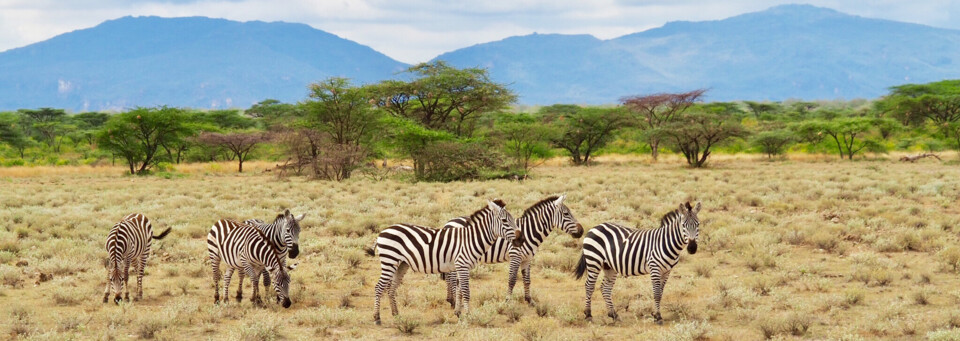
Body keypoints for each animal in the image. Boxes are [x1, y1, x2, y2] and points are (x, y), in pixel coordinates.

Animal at [370, 199, 516, 324]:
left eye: (513, 220)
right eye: (504, 221)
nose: (519, 239)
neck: (471, 239)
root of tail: (382, 232)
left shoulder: (462, 267)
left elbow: (459, 290)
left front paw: (458, 313)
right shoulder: (462, 265)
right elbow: (466, 291)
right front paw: (469, 316)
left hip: (401, 264)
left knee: (391, 288)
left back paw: (396, 314)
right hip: (389, 260)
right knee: (379, 287)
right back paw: (377, 318)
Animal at [442, 195, 584, 304]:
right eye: (566, 214)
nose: (582, 231)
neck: (529, 231)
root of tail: (448, 223)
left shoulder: (527, 259)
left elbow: (527, 280)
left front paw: (529, 300)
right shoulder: (515, 255)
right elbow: (512, 280)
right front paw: (507, 301)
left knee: (449, 276)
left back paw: (450, 299)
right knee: (452, 277)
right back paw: (452, 301)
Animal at [572, 202, 700, 324]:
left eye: (698, 225)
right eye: (683, 225)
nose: (692, 248)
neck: (666, 242)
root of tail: (595, 227)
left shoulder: (667, 271)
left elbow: (661, 293)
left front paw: (655, 314)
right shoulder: (654, 267)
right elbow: (657, 293)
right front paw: (658, 317)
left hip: (609, 266)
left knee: (605, 288)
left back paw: (613, 315)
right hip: (594, 261)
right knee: (589, 286)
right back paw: (588, 315)